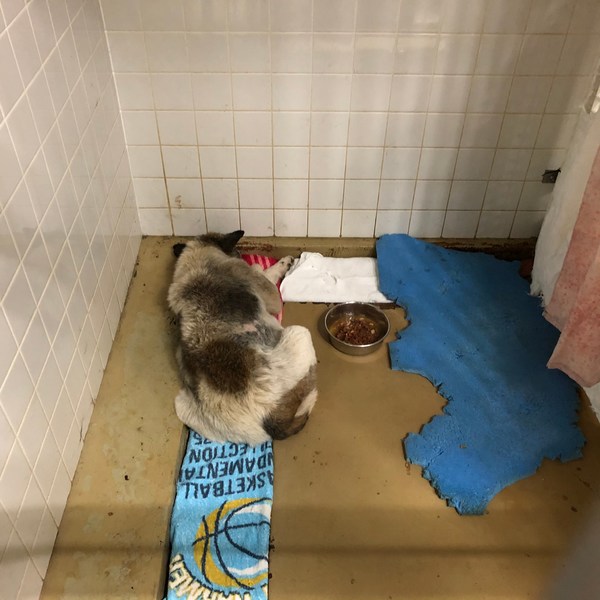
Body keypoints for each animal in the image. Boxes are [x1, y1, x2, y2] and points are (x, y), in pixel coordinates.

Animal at [167, 230, 317, 445]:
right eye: (237, 252)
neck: (196, 265)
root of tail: (266, 420)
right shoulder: (262, 288)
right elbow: (262, 274)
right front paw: (280, 264)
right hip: (299, 334)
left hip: (182, 405)